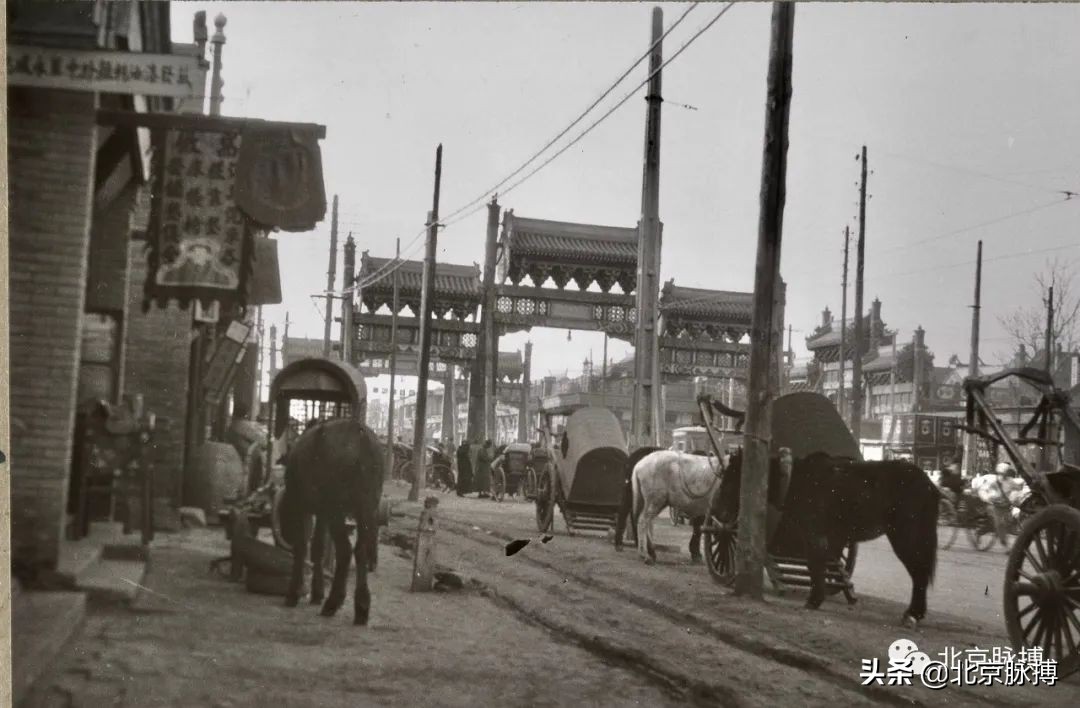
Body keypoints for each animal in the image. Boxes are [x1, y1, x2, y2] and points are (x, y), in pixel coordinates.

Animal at [280, 420, 386, 625]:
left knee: (345, 550)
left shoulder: (301, 505)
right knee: (361, 549)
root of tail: (361, 435)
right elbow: (317, 548)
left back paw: (333, 602)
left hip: (337, 507)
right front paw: (317, 592)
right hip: (368, 505)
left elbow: (302, 546)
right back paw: (361, 605)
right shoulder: (322, 512)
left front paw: (294, 592)